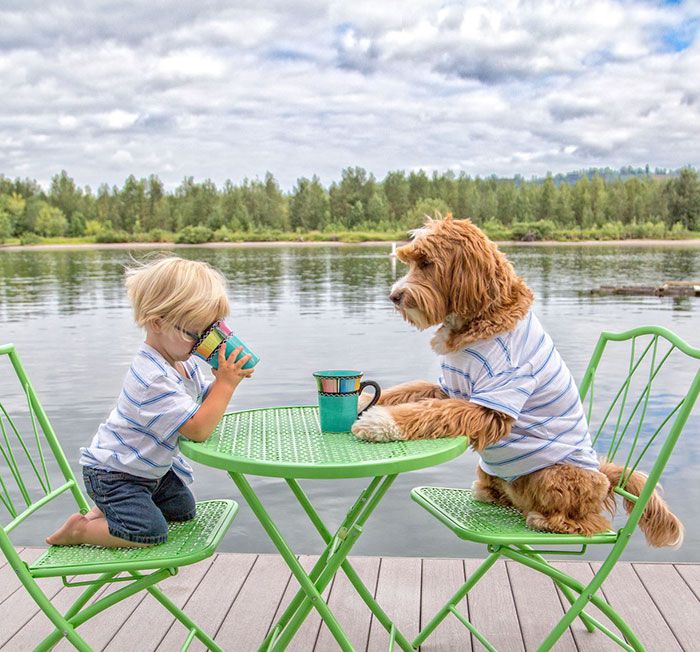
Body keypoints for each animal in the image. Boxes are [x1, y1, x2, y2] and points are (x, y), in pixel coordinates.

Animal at [352, 216, 680, 548]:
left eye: (427, 263)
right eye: (409, 261)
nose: (394, 296)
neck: (480, 318)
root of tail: (604, 475)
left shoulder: (492, 402)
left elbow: (430, 412)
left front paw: (379, 422)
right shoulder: (447, 387)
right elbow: (408, 391)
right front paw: (365, 400)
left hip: (556, 476)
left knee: (590, 522)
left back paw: (546, 520)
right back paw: (492, 493)